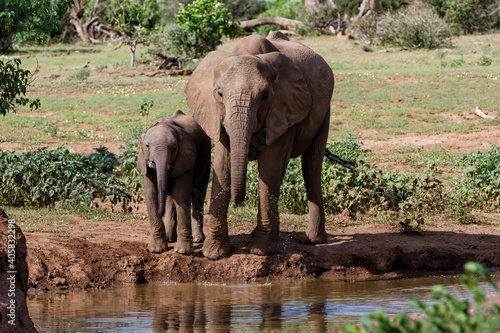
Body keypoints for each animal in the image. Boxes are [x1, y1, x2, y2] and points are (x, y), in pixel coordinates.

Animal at [137, 110, 211, 253]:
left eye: (174, 148)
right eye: (147, 146)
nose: (160, 212)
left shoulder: (186, 159)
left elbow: (181, 195)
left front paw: (182, 251)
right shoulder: (144, 162)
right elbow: (151, 195)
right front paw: (156, 250)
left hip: (207, 156)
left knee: (198, 193)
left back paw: (197, 239)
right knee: (171, 198)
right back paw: (170, 238)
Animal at [186, 31, 334, 260]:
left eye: (265, 96)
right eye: (219, 93)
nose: (238, 201)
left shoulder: (284, 107)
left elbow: (270, 166)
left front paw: (261, 251)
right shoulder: (216, 114)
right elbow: (223, 165)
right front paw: (214, 254)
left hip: (324, 111)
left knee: (311, 167)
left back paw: (310, 240)